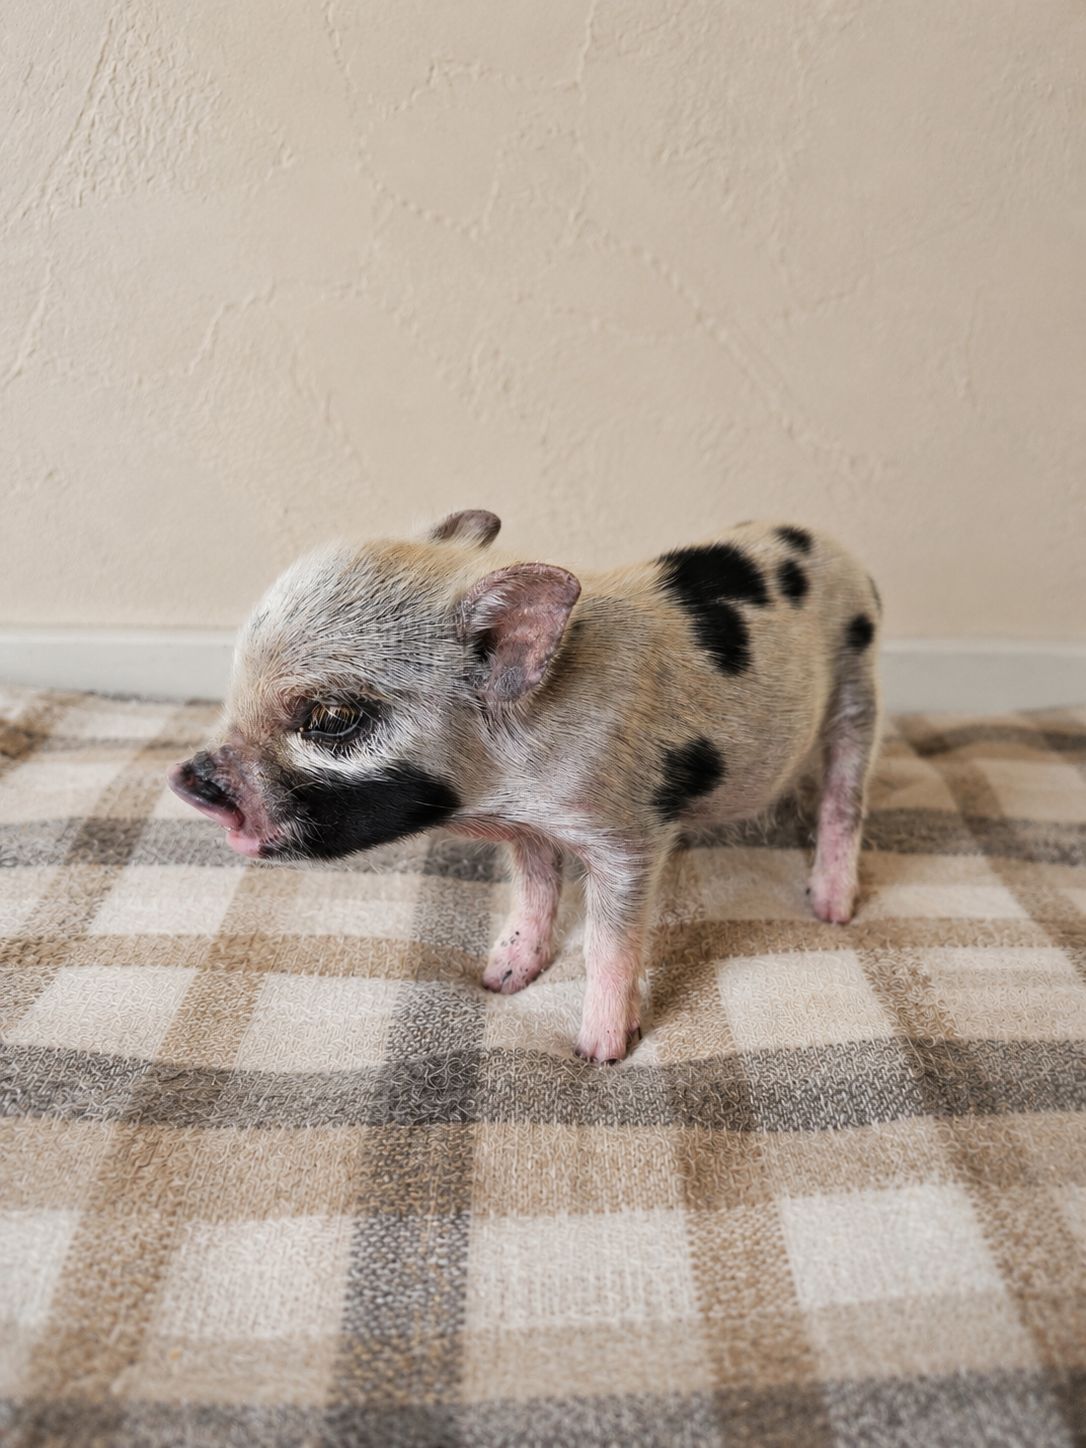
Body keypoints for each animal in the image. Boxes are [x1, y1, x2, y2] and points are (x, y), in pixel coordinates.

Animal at [169, 511, 882, 1062]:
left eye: (332, 718)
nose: (187, 780)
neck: (510, 786)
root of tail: (843, 552)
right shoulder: (528, 829)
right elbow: (534, 890)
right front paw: (500, 980)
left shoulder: (630, 833)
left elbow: (607, 943)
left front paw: (598, 1053)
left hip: (858, 688)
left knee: (847, 795)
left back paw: (830, 908)